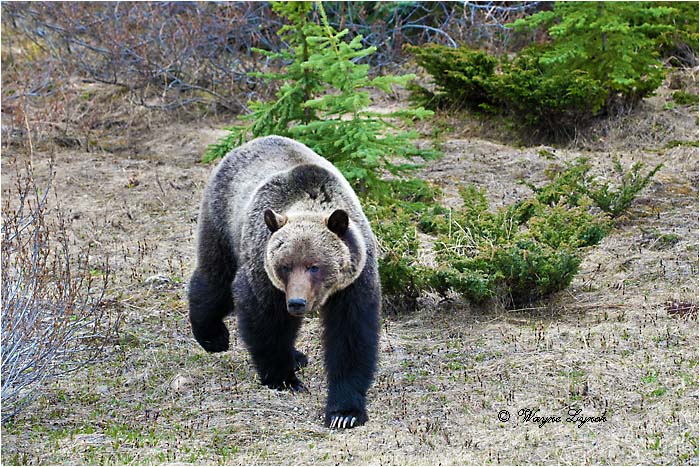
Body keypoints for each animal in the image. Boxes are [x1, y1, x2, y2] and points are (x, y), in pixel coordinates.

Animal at [188, 135, 381, 429]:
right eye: (285, 265)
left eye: (315, 266)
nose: (297, 302)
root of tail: (246, 144)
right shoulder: (264, 273)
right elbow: (266, 323)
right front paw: (284, 379)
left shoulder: (354, 283)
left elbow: (351, 336)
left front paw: (344, 412)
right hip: (223, 222)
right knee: (215, 280)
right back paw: (213, 336)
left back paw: (298, 356)